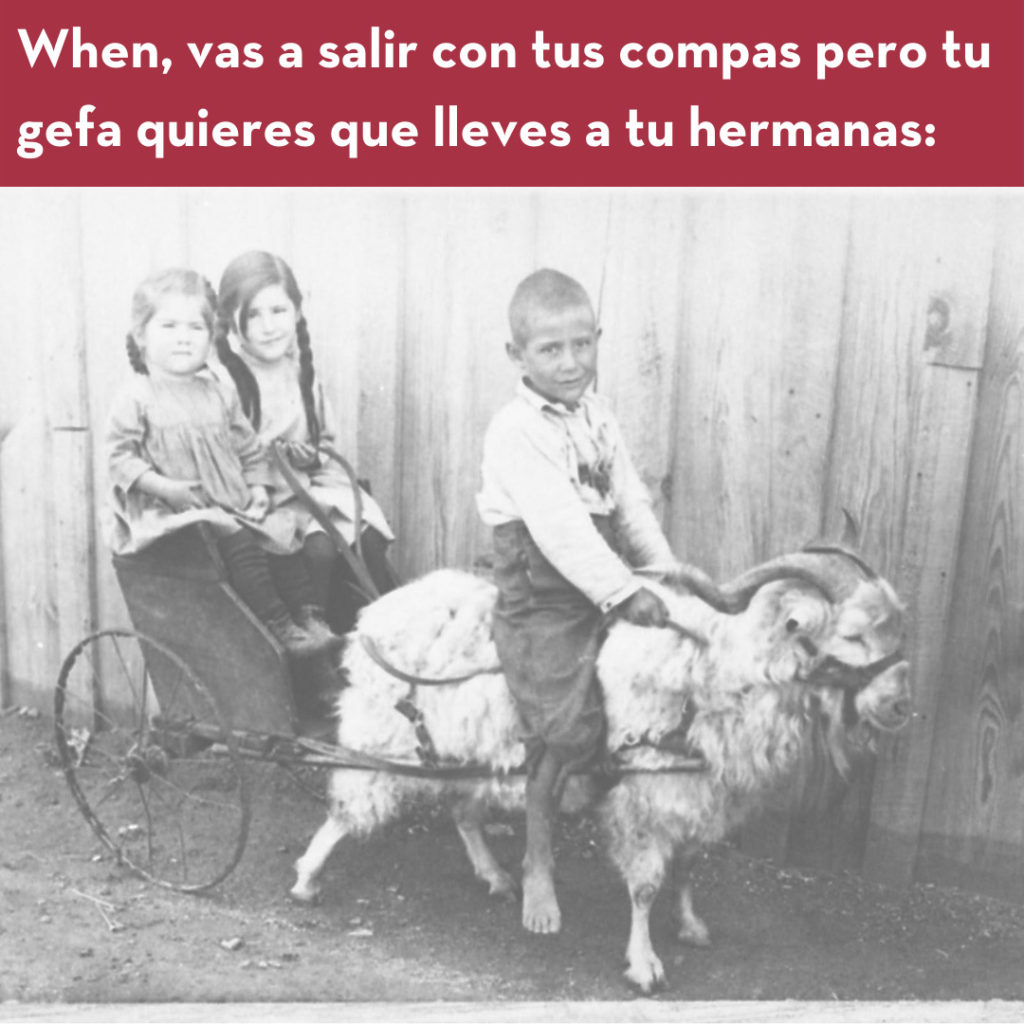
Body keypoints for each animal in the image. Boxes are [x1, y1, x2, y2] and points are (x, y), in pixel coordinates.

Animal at [290, 552, 913, 991]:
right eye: (852, 634)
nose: (900, 706)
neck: (708, 673)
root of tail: (369, 619)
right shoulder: (642, 799)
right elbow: (645, 884)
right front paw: (645, 965)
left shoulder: (694, 792)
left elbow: (688, 865)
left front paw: (691, 927)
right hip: (385, 733)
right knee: (348, 806)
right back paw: (306, 879)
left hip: (465, 748)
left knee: (463, 809)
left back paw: (496, 878)